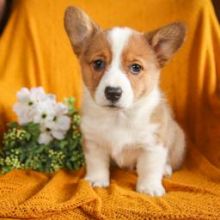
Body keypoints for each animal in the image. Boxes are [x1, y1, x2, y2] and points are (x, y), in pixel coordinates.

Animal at [63, 6, 186, 196]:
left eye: (135, 67)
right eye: (98, 63)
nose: (113, 92)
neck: (119, 117)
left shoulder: (153, 145)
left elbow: (150, 168)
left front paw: (149, 187)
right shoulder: (94, 142)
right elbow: (97, 164)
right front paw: (97, 180)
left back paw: (165, 169)